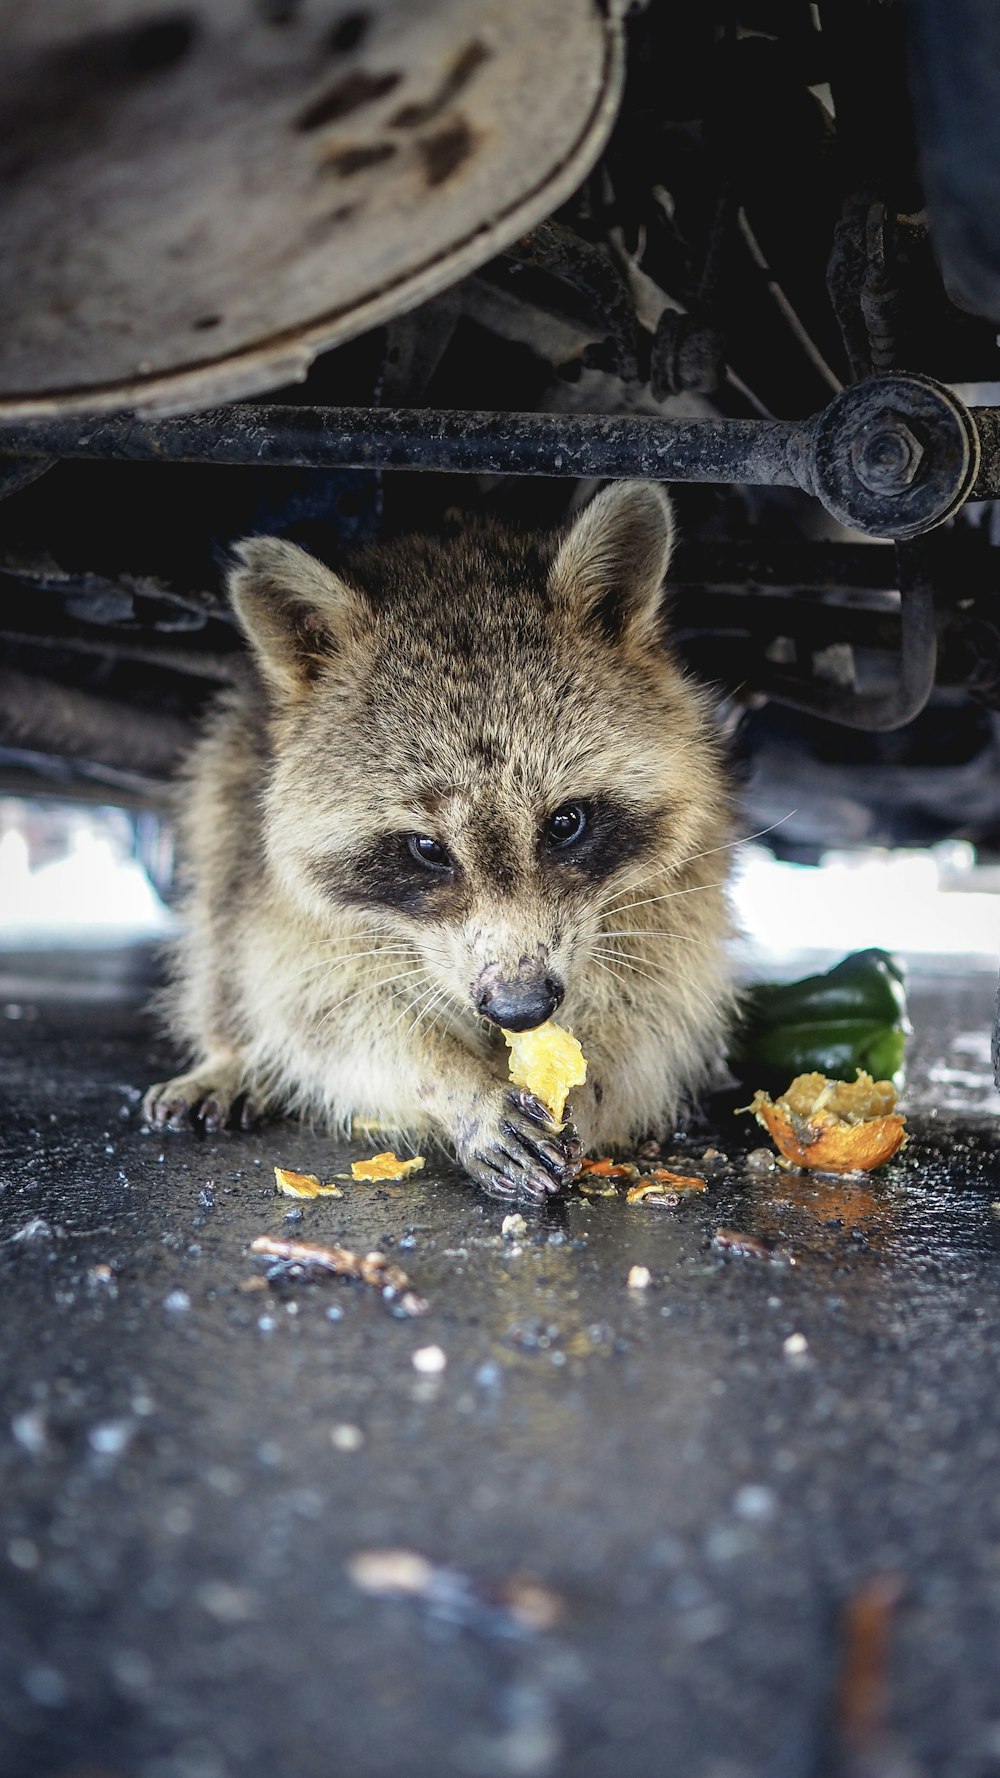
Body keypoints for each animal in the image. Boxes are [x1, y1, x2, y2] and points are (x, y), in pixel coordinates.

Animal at [144, 487, 733, 1201]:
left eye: (565, 822)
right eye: (427, 848)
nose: (520, 1007)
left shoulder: (678, 884)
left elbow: (655, 1004)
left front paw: (591, 1083)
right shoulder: (290, 902)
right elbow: (327, 1012)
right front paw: (456, 1085)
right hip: (231, 781)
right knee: (222, 927)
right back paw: (233, 1055)